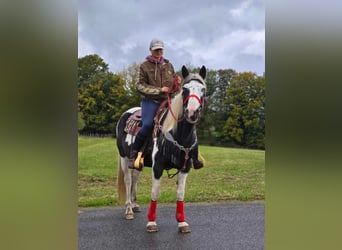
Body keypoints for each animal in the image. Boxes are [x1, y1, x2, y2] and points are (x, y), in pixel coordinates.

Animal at [115, 64, 206, 232]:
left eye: (203, 90)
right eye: (185, 89)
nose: (192, 112)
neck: (177, 134)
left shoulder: (185, 168)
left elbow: (180, 194)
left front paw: (182, 222)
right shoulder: (157, 166)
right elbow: (155, 192)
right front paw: (151, 222)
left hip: (139, 161)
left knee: (135, 179)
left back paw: (134, 204)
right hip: (124, 158)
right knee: (128, 180)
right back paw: (129, 209)